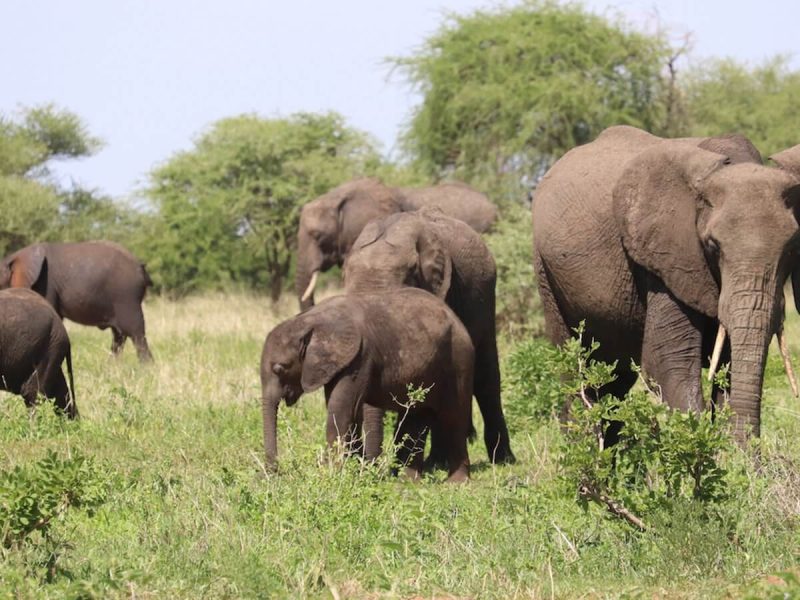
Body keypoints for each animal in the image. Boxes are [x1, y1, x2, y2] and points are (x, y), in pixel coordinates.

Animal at [0, 241, 153, 362]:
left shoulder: (45, 283)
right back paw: (111, 366)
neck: (12, 258)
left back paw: (146, 369)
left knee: (136, 333)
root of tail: (141, 267)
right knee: (119, 335)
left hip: (126, 296)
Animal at [260, 287, 474, 482]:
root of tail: (457, 320)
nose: (275, 473)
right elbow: (349, 411)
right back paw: (407, 482)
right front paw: (355, 473)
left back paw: (456, 483)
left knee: (454, 417)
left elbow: (342, 409)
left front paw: (333, 475)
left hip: (459, 360)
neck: (308, 321)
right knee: (418, 416)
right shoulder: (339, 362)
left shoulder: (360, 357)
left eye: (280, 368)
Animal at [533, 124, 800, 444]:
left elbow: (731, 364)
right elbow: (670, 362)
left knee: (614, 377)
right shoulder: (663, 259)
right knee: (575, 367)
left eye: (791, 247)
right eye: (713, 246)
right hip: (546, 272)